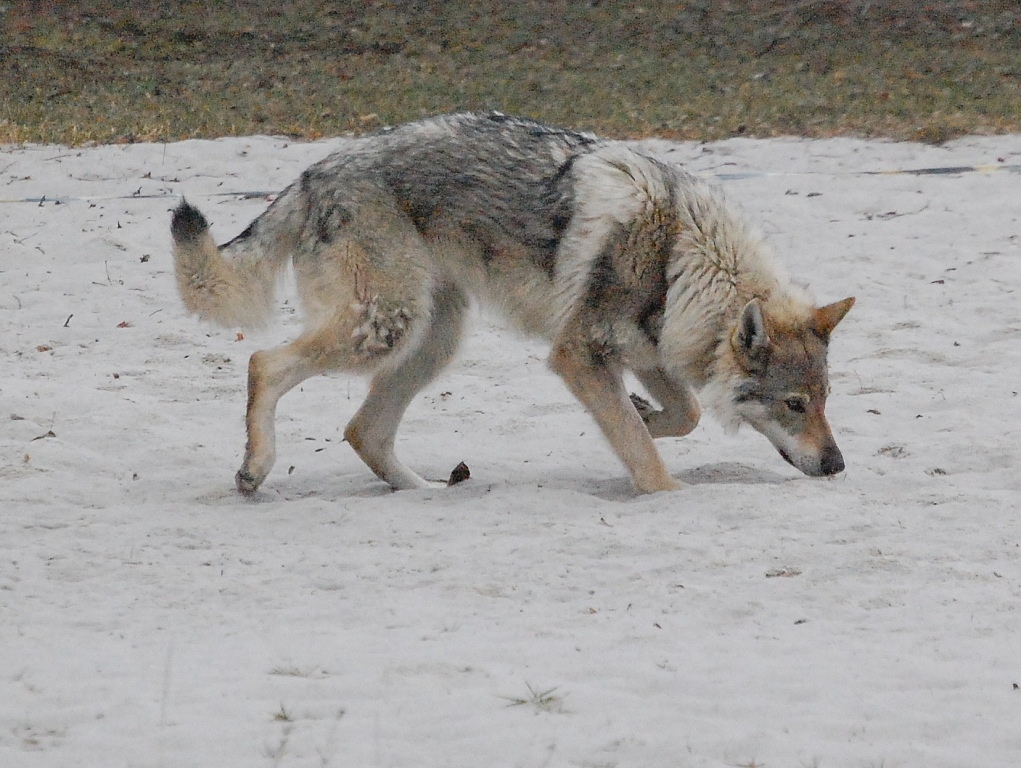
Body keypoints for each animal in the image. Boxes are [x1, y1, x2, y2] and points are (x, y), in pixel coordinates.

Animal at [169, 110, 853, 494]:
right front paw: (667, 489)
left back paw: (428, 492)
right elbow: (647, 458)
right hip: (384, 329)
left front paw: (645, 413)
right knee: (264, 363)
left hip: (432, 340)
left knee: (363, 431)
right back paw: (255, 471)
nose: (837, 464)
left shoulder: (646, 348)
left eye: (824, 402)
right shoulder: (578, 355)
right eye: (795, 404)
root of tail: (315, 170)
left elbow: (678, 415)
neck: (679, 256)